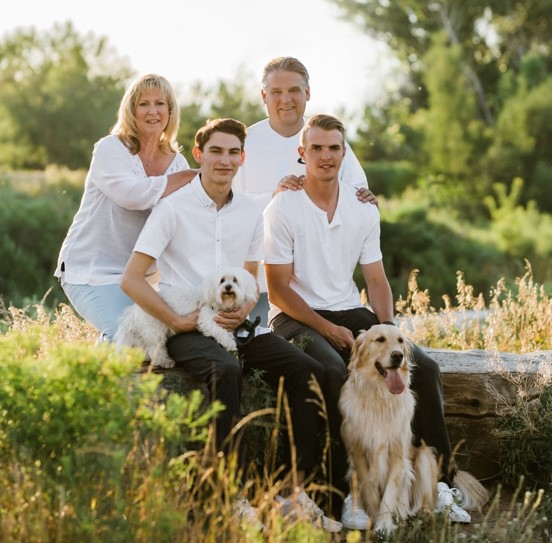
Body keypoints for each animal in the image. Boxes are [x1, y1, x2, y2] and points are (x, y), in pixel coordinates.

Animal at [113, 268, 258, 370]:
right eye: (222, 280)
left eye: (235, 280)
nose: (228, 287)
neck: (222, 304)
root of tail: (133, 310)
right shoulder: (206, 319)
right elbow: (219, 332)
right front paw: (229, 343)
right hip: (155, 328)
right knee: (154, 348)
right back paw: (165, 361)